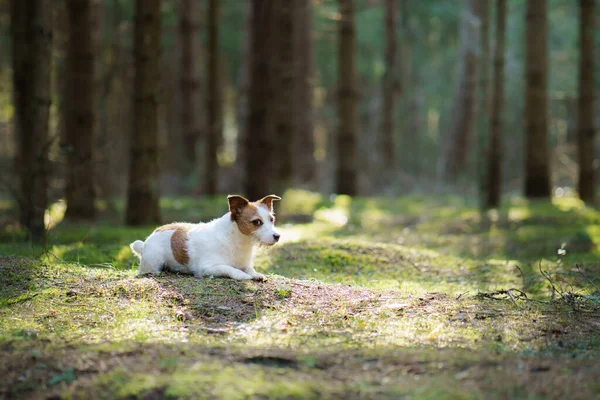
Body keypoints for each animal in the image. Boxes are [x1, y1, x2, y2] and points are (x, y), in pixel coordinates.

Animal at [130, 195, 280, 280]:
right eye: (257, 222)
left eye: (272, 219)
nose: (277, 236)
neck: (236, 240)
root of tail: (145, 242)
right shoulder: (207, 268)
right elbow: (228, 268)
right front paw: (241, 275)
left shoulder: (245, 264)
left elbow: (250, 269)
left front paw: (255, 274)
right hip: (152, 264)